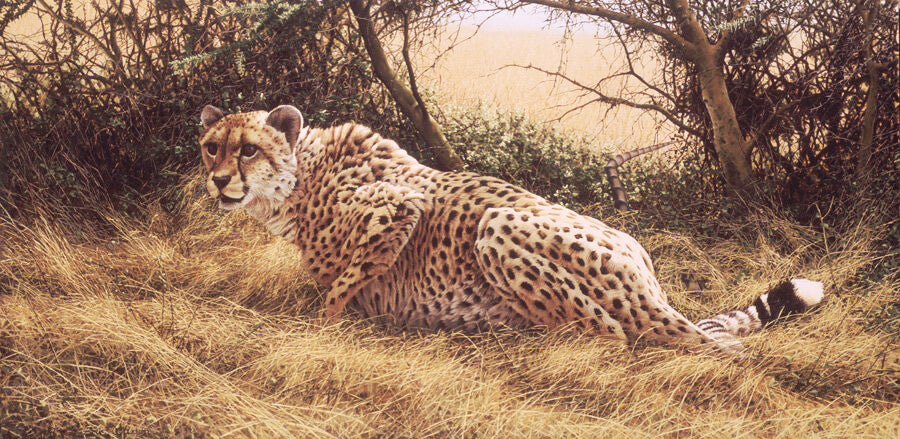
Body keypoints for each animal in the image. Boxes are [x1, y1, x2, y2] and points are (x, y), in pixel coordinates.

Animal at [198, 104, 825, 354]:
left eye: (248, 149)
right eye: (210, 147)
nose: (218, 181)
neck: (301, 178)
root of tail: (643, 263)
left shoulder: (400, 207)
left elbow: (341, 285)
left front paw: (323, 329)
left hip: (497, 228)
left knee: (616, 337)